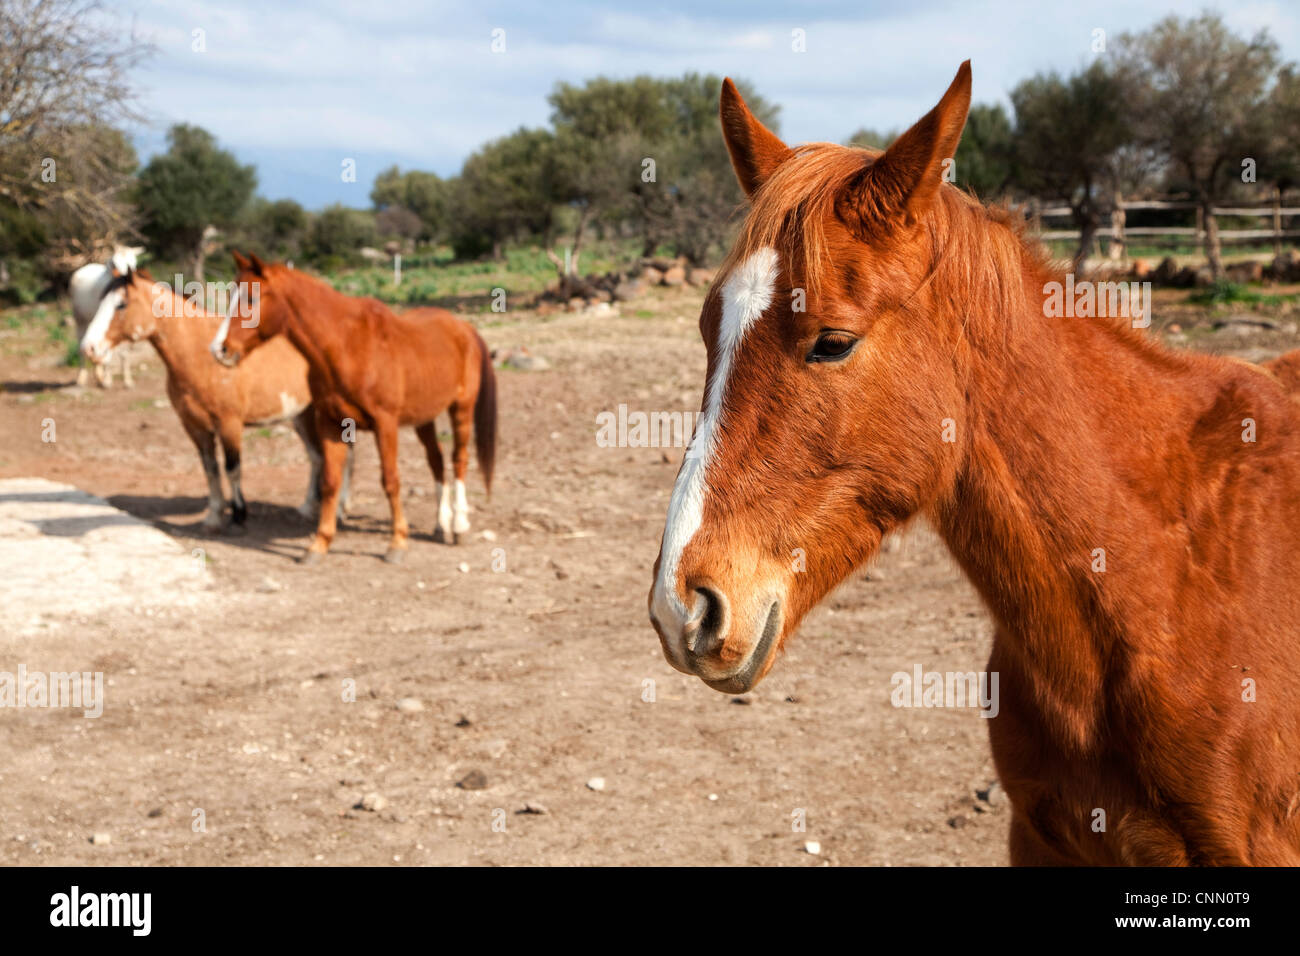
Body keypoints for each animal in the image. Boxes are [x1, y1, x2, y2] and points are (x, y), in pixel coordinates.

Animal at [71, 247, 143, 390]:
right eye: (114, 264)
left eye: (133, 263)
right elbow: (108, 353)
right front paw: (108, 381)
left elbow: (124, 353)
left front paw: (128, 381)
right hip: (80, 320)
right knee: (82, 346)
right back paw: (82, 379)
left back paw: (99, 376)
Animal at [82, 265, 356, 528]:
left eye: (121, 304)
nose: (89, 348)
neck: (200, 355)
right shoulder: (195, 426)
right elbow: (210, 468)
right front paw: (214, 515)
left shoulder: (229, 423)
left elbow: (232, 468)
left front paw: (238, 514)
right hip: (303, 415)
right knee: (318, 457)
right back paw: (309, 508)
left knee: (343, 457)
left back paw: (340, 509)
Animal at [213, 256, 496, 567]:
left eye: (252, 298)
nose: (219, 349)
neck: (346, 346)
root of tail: (464, 327)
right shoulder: (330, 423)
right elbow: (330, 482)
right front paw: (319, 544)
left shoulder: (385, 424)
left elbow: (391, 481)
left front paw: (397, 543)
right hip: (425, 417)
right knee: (436, 460)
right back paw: (440, 523)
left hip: (461, 409)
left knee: (459, 460)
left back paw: (459, 526)